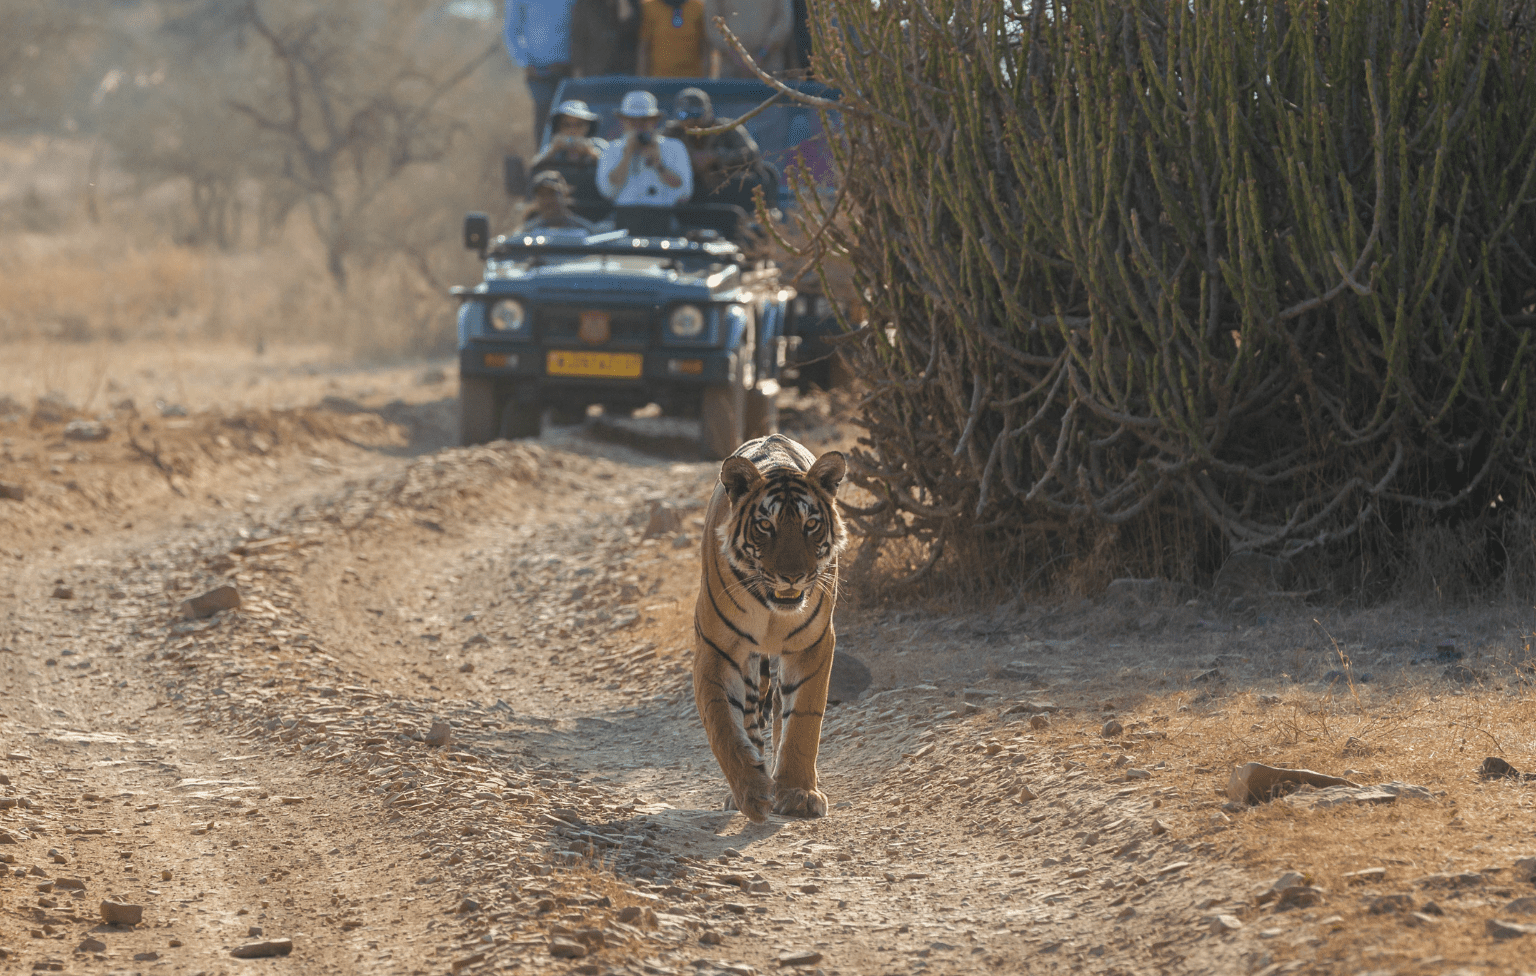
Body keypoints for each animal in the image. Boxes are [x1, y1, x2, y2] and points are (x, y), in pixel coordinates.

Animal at [692, 433, 849, 822]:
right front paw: (752, 792)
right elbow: (724, 726)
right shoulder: (717, 651)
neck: (771, 610)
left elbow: (803, 721)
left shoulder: (814, 644)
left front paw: (797, 792)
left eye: (811, 525)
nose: (792, 576)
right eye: (766, 526)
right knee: (750, 718)